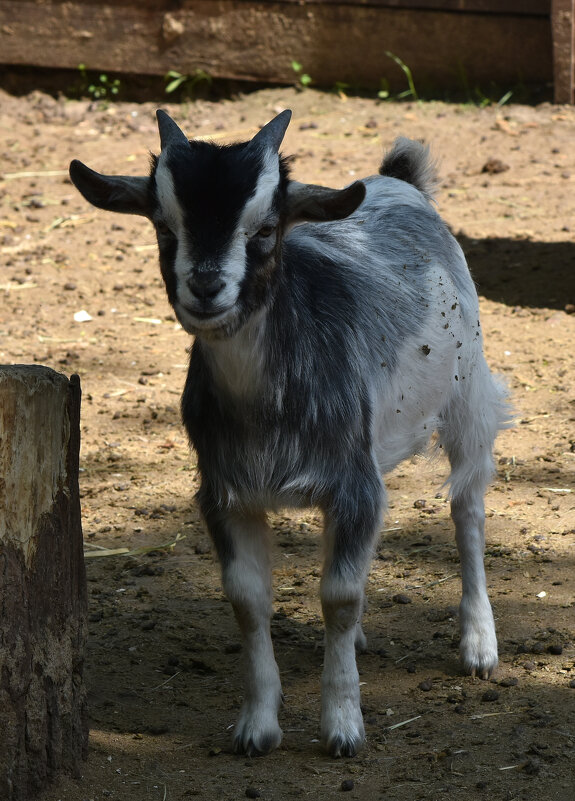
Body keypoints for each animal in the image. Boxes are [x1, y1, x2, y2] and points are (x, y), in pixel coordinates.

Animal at [68, 111, 512, 756]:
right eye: (163, 224)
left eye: (266, 227)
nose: (206, 287)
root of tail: (397, 180)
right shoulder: (226, 494)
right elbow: (249, 600)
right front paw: (257, 727)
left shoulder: (351, 482)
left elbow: (339, 596)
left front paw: (343, 728)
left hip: (468, 395)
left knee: (468, 509)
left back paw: (479, 644)